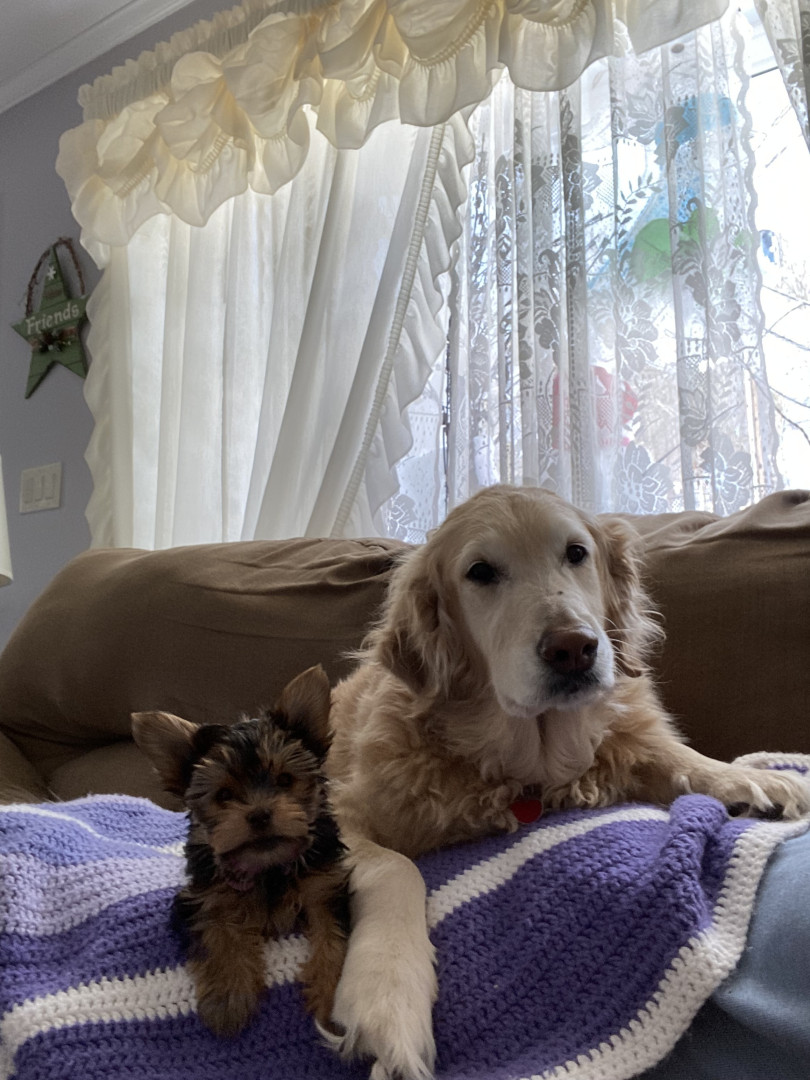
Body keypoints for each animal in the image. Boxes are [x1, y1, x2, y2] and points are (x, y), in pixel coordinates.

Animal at [132, 665, 349, 1037]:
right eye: (223, 796)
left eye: (285, 780)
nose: (260, 814)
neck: (268, 865)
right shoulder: (204, 898)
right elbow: (218, 933)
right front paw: (228, 998)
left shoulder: (326, 886)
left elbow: (332, 936)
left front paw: (333, 999)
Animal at [324, 484, 810, 1080]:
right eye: (480, 572)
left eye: (576, 553)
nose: (574, 648)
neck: (525, 767)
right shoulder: (340, 811)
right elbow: (396, 867)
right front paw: (389, 997)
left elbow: (676, 756)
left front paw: (752, 780)